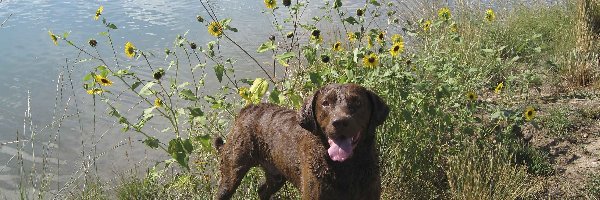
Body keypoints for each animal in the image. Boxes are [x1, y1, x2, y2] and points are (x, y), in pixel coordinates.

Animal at [214, 83, 390, 199]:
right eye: (325, 103)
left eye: (357, 102)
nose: (339, 122)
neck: (346, 168)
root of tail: (246, 110)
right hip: (231, 173)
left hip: (276, 174)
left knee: (262, 190)